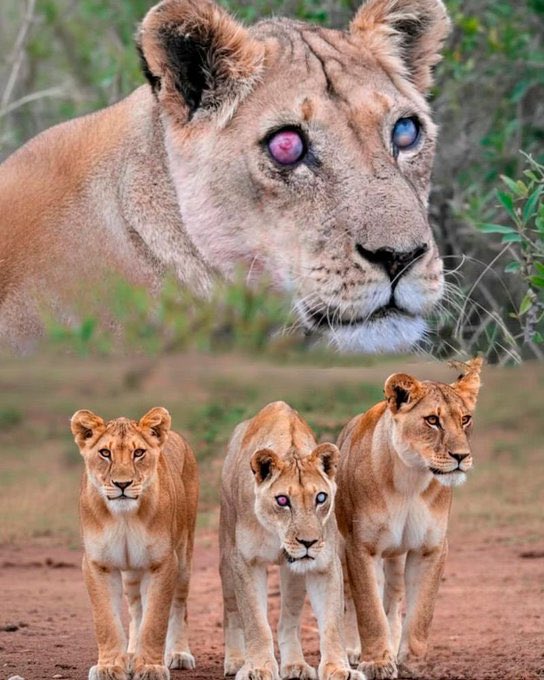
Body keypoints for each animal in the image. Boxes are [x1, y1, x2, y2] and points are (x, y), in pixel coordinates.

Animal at [71, 406, 199, 680]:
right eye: (105, 453)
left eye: (138, 453)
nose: (122, 484)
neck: (124, 518)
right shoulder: (98, 564)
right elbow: (106, 621)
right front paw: (109, 667)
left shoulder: (162, 562)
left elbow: (155, 621)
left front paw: (150, 667)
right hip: (131, 571)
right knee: (136, 608)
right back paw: (130, 655)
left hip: (184, 555)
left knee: (179, 605)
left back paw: (178, 654)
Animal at [220, 401, 363, 680]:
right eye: (282, 500)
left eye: (321, 498)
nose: (308, 542)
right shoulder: (245, 561)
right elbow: (255, 621)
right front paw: (258, 668)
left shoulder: (325, 564)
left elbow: (332, 623)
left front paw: (339, 669)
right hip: (225, 555)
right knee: (232, 611)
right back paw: (237, 660)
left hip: (293, 574)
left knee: (288, 620)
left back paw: (295, 665)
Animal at [335, 358, 483, 679]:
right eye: (432, 420)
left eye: (465, 419)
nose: (461, 456)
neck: (411, 481)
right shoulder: (361, 547)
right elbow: (368, 609)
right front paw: (376, 662)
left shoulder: (431, 548)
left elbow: (421, 612)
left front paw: (412, 663)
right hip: (341, 546)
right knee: (349, 597)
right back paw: (352, 650)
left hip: (395, 555)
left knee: (393, 597)